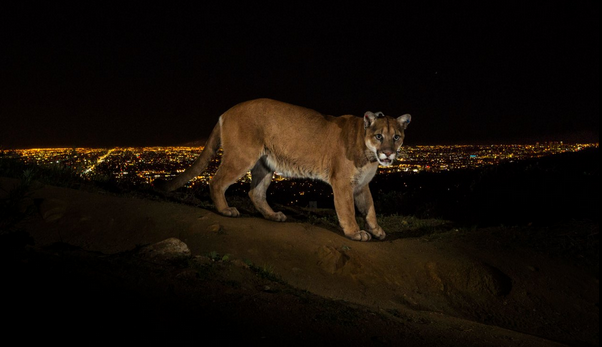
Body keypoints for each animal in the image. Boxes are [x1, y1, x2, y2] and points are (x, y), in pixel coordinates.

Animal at [152, 99, 410, 242]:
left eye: (396, 137)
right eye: (379, 136)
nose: (388, 153)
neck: (369, 154)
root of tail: (226, 112)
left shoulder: (361, 184)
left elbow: (370, 209)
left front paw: (377, 231)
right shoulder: (342, 182)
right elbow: (347, 210)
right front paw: (355, 233)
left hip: (266, 164)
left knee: (255, 192)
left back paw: (273, 215)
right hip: (242, 156)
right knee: (216, 181)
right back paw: (226, 210)